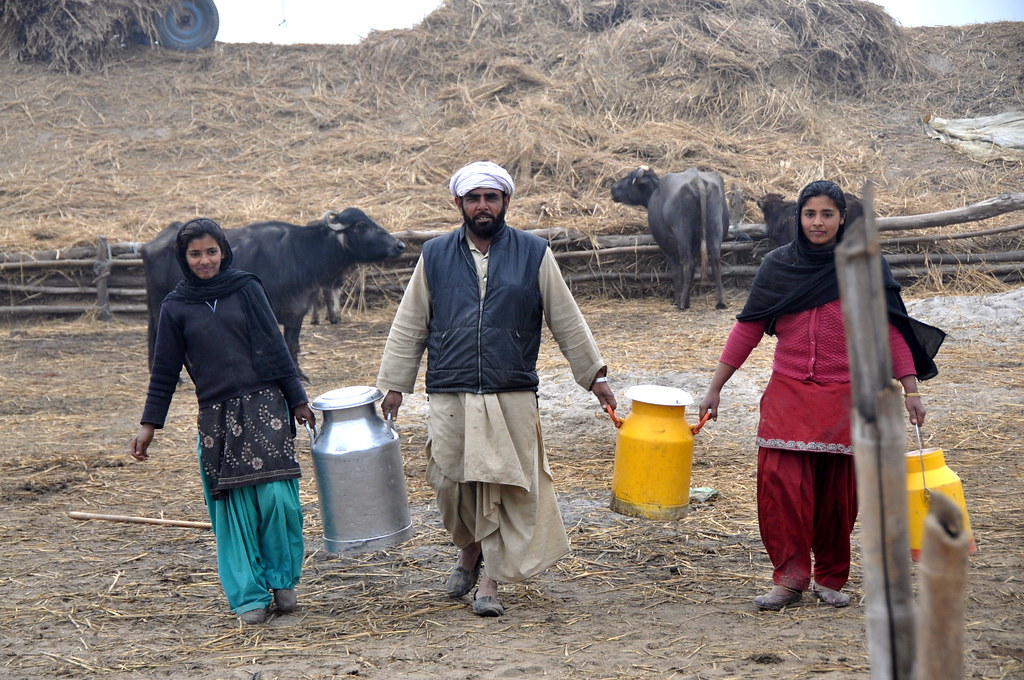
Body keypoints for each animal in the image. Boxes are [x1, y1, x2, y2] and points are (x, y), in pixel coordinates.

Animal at [142, 206, 405, 378]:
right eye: (361, 225)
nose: (399, 245)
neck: (302, 254)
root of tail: (151, 245)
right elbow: (285, 344)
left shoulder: (297, 311)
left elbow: (293, 344)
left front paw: (300, 373)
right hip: (158, 304)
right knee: (155, 333)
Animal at [606, 166, 729, 311]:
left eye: (630, 177)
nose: (613, 188)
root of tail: (698, 180)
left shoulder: (667, 248)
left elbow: (676, 271)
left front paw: (677, 299)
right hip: (715, 229)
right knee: (715, 262)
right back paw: (720, 302)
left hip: (682, 233)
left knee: (688, 264)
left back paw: (682, 304)